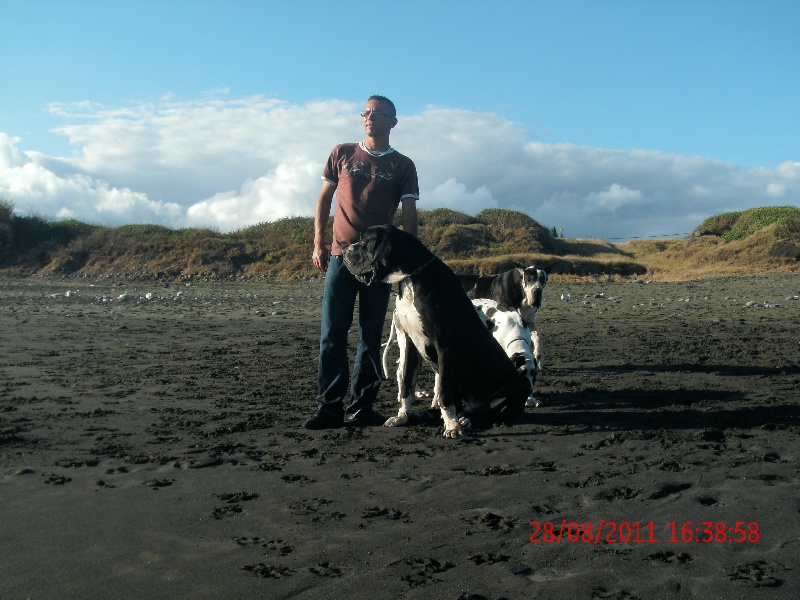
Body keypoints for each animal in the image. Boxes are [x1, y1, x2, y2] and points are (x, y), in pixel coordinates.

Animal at [343, 225, 530, 438]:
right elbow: (407, 384)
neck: (410, 277)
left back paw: (463, 421)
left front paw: (452, 426)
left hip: (520, 384)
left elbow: (443, 393)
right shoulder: (410, 344)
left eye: (363, 242)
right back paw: (426, 414)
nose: (344, 251)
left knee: (484, 411)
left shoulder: (445, 345)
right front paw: (403, 416)